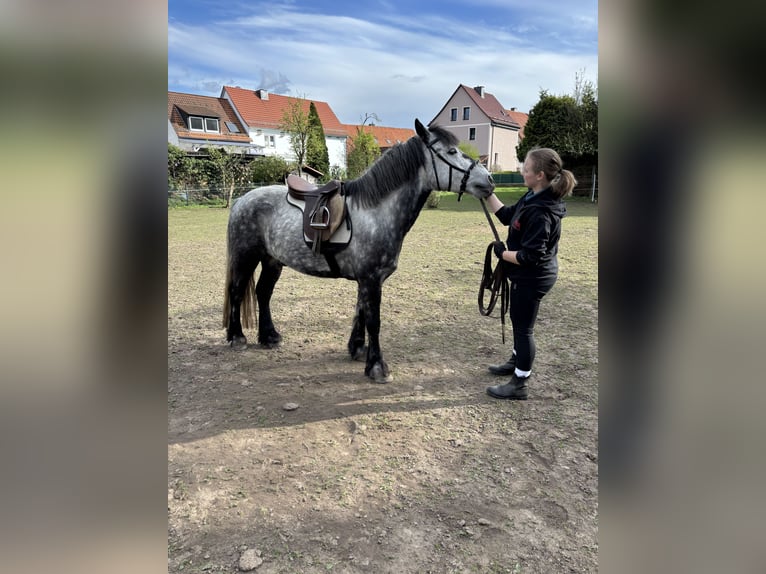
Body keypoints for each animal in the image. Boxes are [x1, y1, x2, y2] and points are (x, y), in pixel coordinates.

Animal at [222, 118, 495, 383]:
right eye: (451, 151)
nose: (489, 180)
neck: (376, 212)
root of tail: (242, 200)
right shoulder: (371, 279)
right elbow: (374, 321)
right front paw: (377, 367)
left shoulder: (368, 279)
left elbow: (361, 313)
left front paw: (358, 349)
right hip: (246, 257)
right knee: (237, 291)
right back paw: (237, 338)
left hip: (272, 260)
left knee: (262, 293)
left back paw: (269, 337)